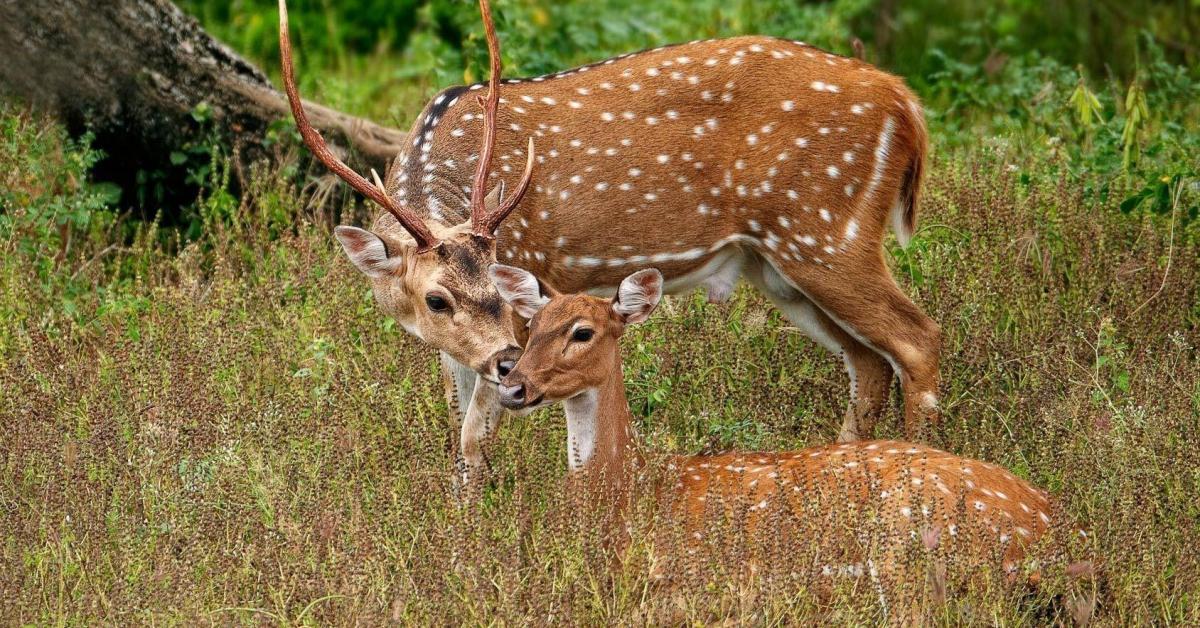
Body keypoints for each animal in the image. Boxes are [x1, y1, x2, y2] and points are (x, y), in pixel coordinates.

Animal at [278, 0, 936, 487]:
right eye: (436, 300)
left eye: (503, 282)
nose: (508, 361)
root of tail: (905, 103)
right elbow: (458, 428)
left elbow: (472, 436)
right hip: (777, 264)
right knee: (869, 362)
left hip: (826, 227)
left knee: (916, 339)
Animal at [487, 265, 1089, 600]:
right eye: (531, 325)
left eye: (582, 332)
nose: (512, 385)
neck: (627, 486)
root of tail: (1063, 535)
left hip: (910, 550)